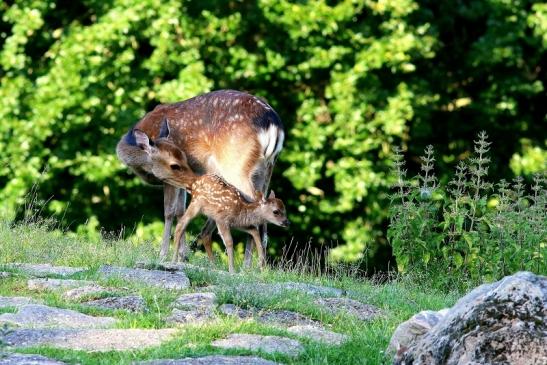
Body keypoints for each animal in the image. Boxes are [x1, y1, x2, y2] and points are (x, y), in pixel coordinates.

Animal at [117, 89, 284, 264]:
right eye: (180, 159)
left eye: (176, 163)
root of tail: (273, 124)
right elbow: (180, 211)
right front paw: (183, 255)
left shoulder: (169, 180)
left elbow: (169, 211)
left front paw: (163, 255)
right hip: (266, 170)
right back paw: (257, 264)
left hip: (235, 165)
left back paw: (248, 265)